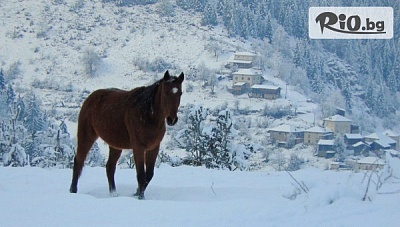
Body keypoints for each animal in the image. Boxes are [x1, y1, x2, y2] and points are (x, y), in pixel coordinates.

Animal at [70, 70, 184, 199]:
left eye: (180, 93)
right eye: (165, 92)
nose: (172, 119)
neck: (148, 115)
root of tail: (90, 98)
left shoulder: (153, 148)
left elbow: (149, 175)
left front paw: (137, 193)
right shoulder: (138, 147)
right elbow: (141, 175)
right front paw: (140, 197)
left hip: (115, 145)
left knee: (110, 167)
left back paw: (114, 194)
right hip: (86, 137)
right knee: (78, 161)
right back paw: (73, 190)